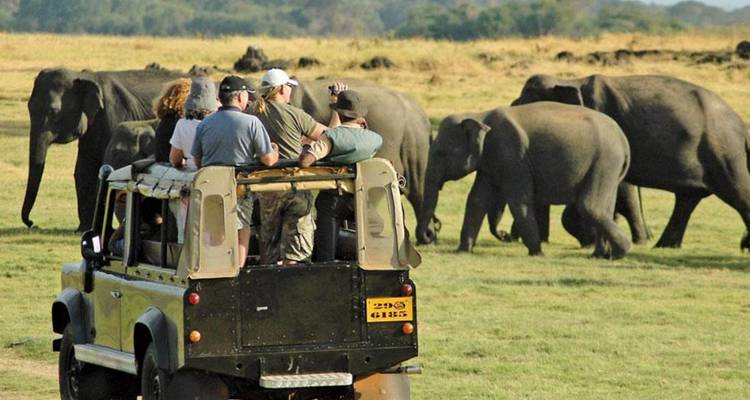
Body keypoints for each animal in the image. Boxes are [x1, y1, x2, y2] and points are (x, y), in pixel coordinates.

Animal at [22, 68, 183, 231]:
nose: (32, 223)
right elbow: (84, 169)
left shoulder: (114, 114)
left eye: (53, 111)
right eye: (29, 107)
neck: (83, 76)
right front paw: (83, 229)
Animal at [438, 102, 632, 258]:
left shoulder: (513, 156)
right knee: (605, 208)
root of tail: (623, 139)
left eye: (443, 154)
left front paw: (537, 254)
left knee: (590, 206)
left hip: (604, 162)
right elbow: (476, 200)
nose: (504, 235)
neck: (480, 116)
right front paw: (462, 252)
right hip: (609, 169)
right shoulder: (490, 163)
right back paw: (600, 255)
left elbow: (519, 202)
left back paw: (620, 252)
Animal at [512, 74, 750, 250]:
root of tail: (741, 124)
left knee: (736, 192)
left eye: (526, 103)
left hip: (723, 152)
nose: (508, 237)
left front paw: (591, 239)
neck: (571, 80)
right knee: (687, 199)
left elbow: (622, 188)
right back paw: (664, 245)